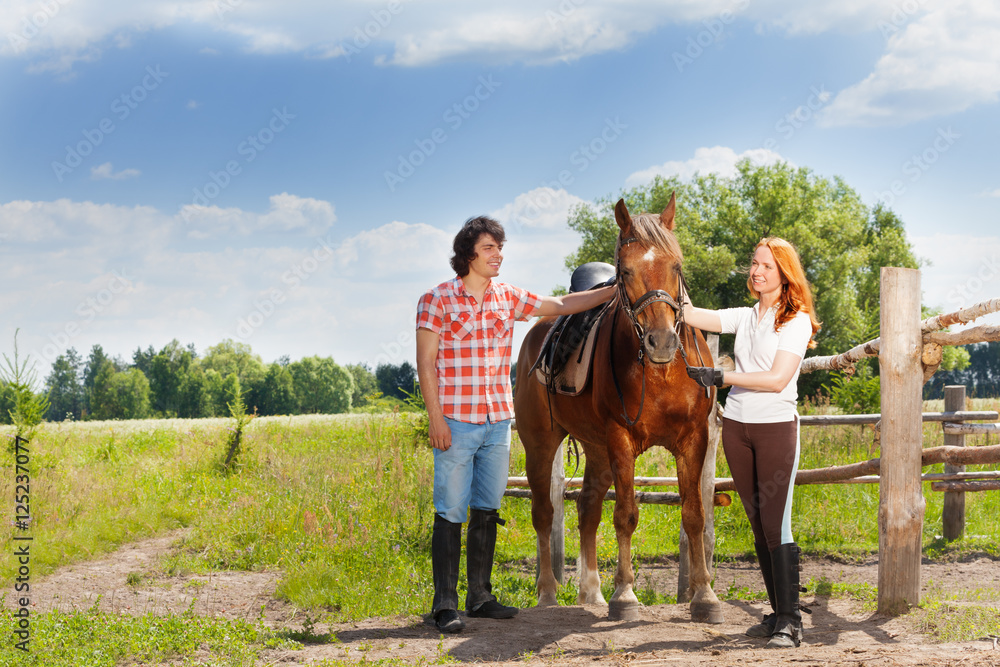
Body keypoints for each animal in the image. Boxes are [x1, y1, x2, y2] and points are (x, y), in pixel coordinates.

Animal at [516, 196, 720, 624]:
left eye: (676, 266)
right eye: (625, 271)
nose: (662, 341)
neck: (660, 373)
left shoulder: (694, 439)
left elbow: (694, 514)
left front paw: (704, 595)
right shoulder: (621, 440)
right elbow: (626, 515)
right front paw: (625, 595)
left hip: (596, 450)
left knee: (587, 508)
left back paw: (591, 591)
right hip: (541, 443)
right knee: (544, 512)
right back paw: (548, 593)